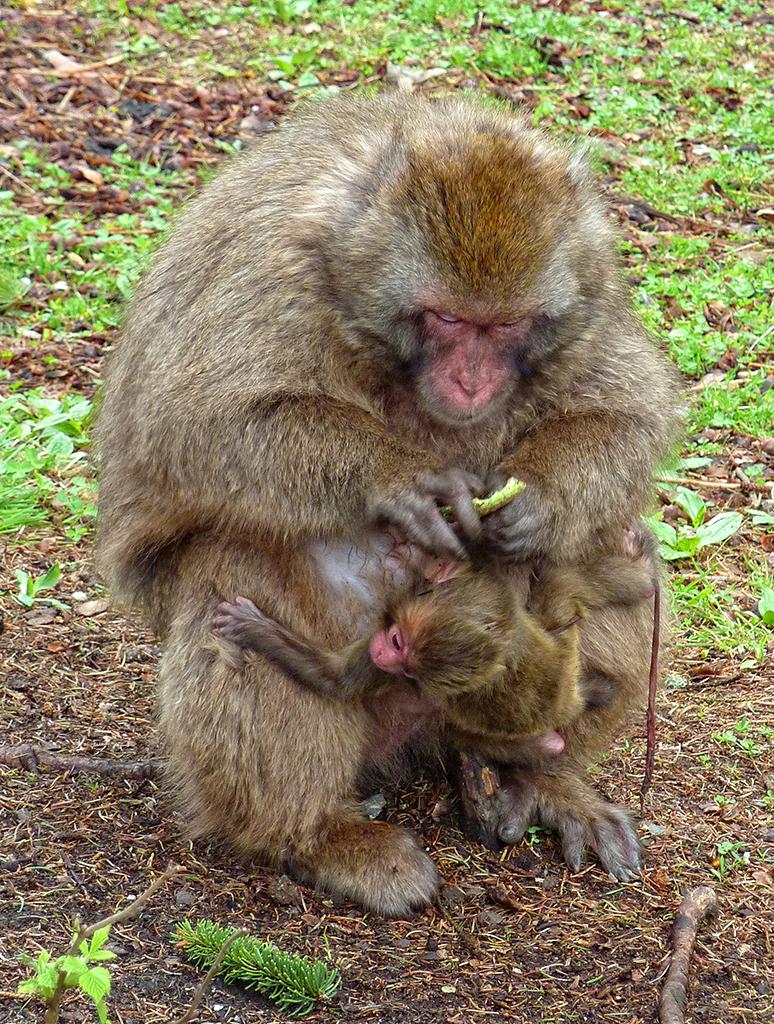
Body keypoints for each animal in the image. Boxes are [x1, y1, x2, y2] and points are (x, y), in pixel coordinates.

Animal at [96, 92, 680, 915]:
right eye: (445, 319)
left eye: (504, 325)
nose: (471, 380)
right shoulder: (272, 279)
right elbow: (192, 423)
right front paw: (402, 482)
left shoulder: (587, 304)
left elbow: (628, 414)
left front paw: (534, 502)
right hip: (374, 672)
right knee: (239, 566)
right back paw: (315, 837)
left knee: (612, 546)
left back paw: (544, 776)